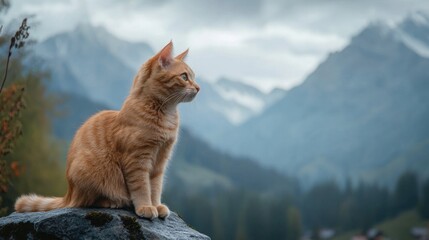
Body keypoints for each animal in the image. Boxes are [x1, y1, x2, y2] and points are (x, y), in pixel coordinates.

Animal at [14, 41, 199, 219]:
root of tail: (68, 194)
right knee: (87, 202)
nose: (198, 88)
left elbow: (155, 187)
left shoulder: (160, 162)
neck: (164, 113)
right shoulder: (137, 160)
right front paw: (145, 206)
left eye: (194, 77)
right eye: (184, 77)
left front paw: (156, 205)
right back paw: (114, 202)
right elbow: (142, 187)